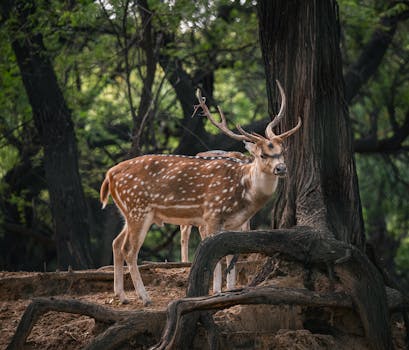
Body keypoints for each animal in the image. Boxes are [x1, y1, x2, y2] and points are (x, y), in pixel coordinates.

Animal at [100, 80, 302, 304]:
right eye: (262, 154)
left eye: (281, 151)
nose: (281, 168)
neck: (244, 194)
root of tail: (109, 174)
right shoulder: (212, 214)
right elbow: (215, 256)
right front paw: (217, 291)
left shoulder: (234, 222)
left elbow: (230, 254)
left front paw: (230, 289)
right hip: (138, 208)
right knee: (129, 249)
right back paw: (144, 297)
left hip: (128, 211)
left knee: (116, 243)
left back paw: (122, 295)